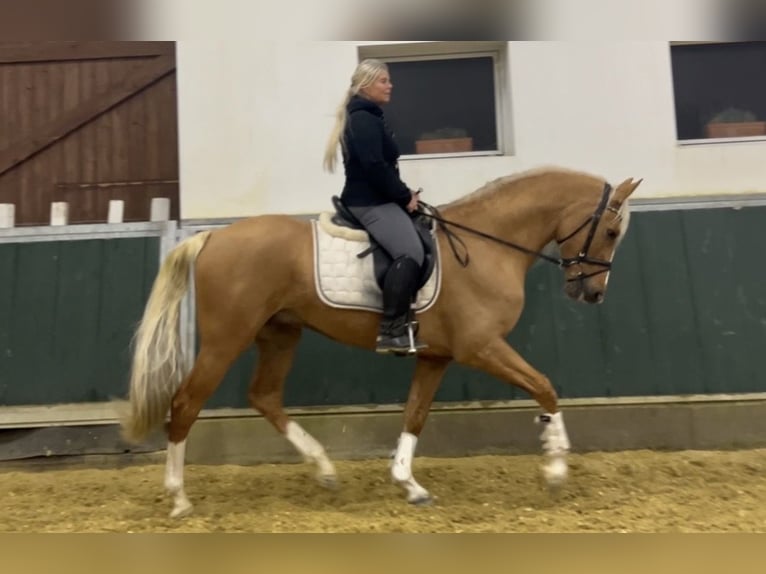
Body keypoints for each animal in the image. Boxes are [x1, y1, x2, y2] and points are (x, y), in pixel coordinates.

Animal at [118, 166, 641, 518]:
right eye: (611, 230)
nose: (592, 293)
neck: (487, 245)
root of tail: (213, 237)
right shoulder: (481, 347)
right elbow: (545, 387)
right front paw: (555, 472)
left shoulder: (437, 356)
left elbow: (415, 414)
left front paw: (408, 485)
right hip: (226, 340)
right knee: (185, 404)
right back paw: (179, 498)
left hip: (280, 333)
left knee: (264, 396)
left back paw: (324, 469)